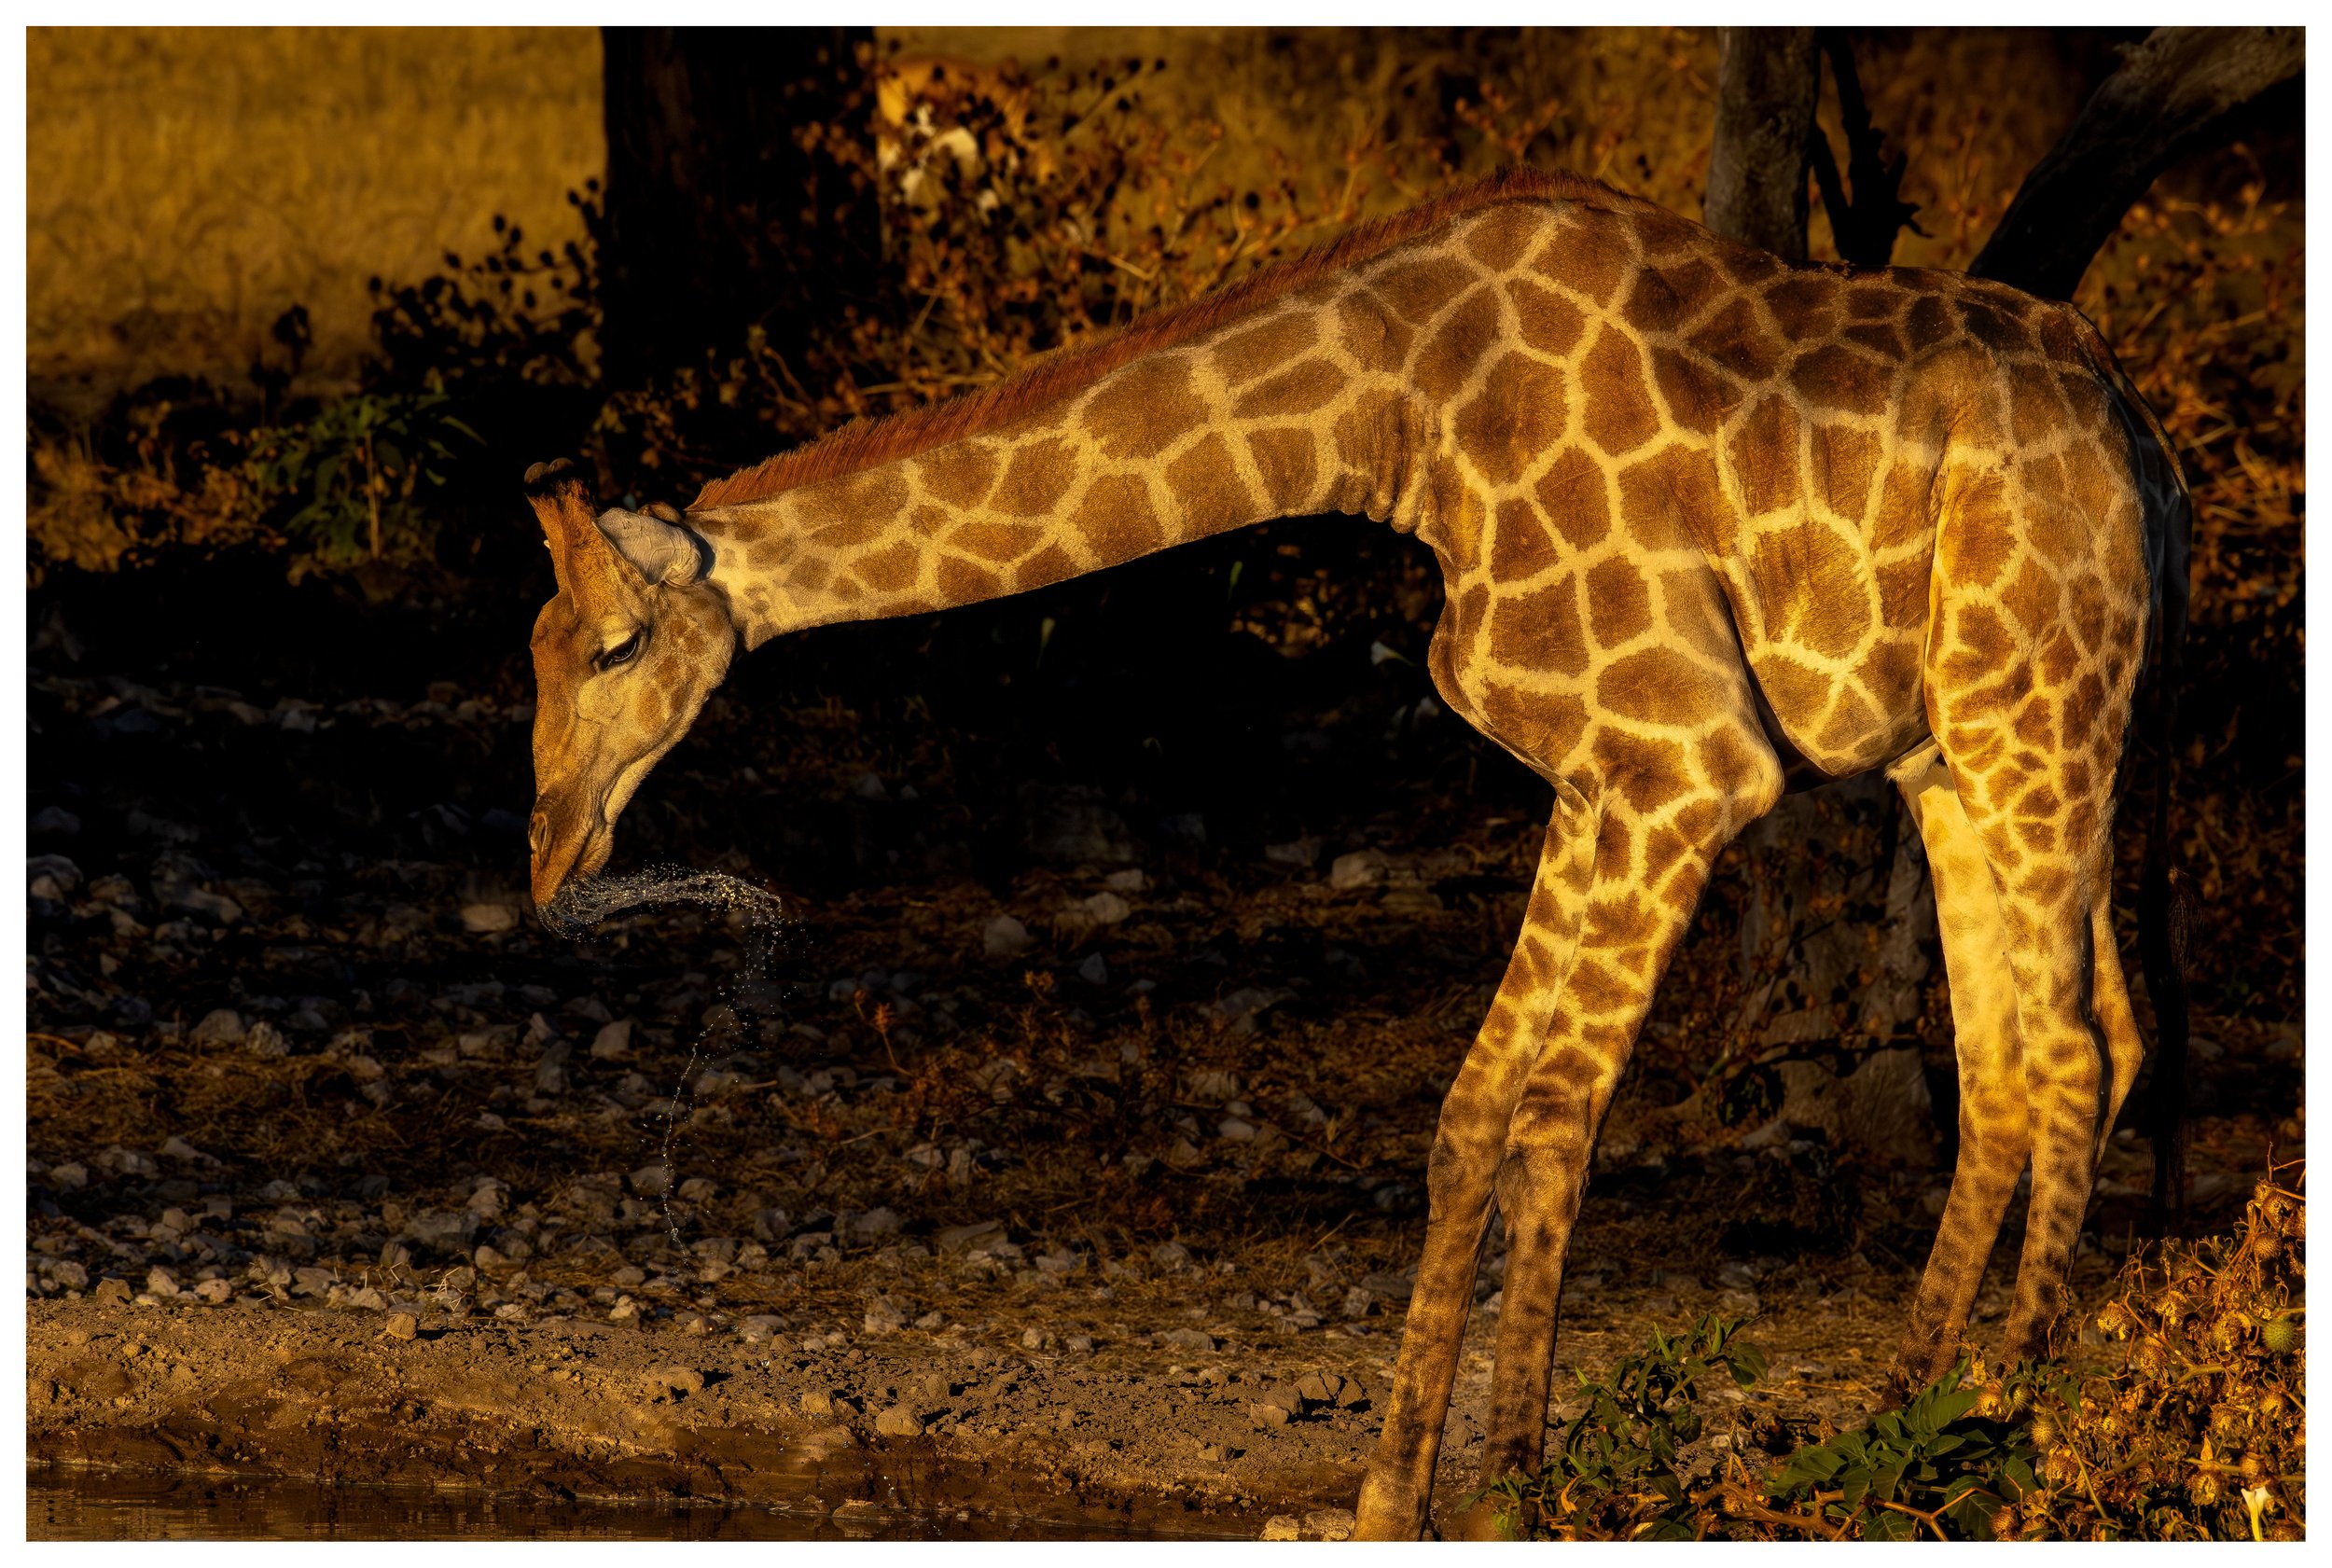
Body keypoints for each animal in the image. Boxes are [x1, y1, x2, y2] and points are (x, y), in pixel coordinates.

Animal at [522, 167, 2189, 1540]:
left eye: (612, 647)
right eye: (536, 650)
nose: (548, 855)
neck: (1395, 419)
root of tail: (2146, 444)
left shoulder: (1686, 758)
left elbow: (1555, 1115)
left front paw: (1512, 1490)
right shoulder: (1596, 771)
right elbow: (1477, 1116)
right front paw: (1390, 1494)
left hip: (2034, 704)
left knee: (2066, 1048)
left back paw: (2012, 1440)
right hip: (1959, 746)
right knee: (2042, 1046)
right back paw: (1898, 1428)